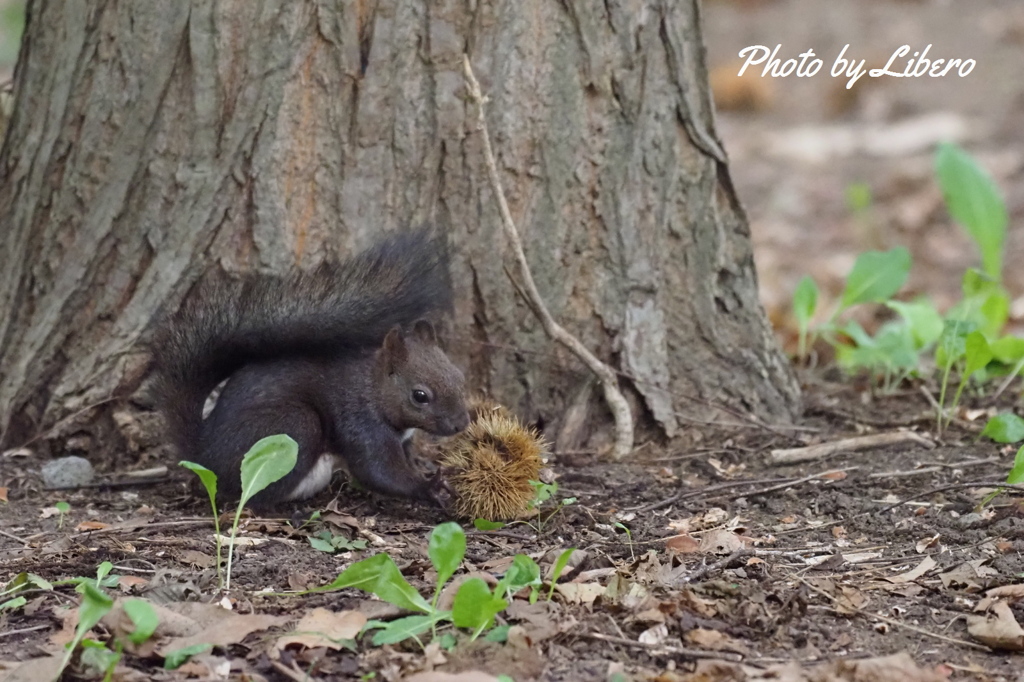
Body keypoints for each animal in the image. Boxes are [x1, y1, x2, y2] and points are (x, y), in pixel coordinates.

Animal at [149, 225, 468, 507]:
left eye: (460, 378)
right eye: (420, 396)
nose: (461, 424)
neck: (374, 389)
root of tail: (204, 454)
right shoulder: (361, 424)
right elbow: (380, 473)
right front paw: (428, 487)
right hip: (295, 427)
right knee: (250, 496)